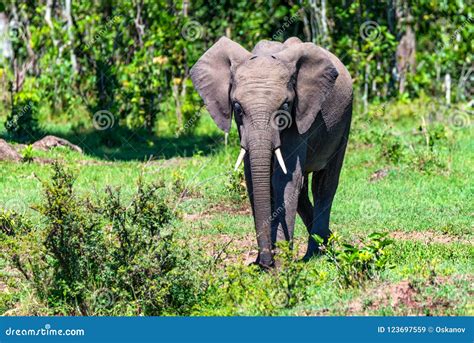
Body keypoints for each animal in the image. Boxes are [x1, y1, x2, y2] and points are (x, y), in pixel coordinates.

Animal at [190, 37, 352, 268]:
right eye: (237, 107)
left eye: (284, 106)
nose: (265, 262)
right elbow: (253, 178)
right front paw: (262, 264)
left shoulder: (299, 114)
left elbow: (283, 179)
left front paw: (281, 267)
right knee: (303, 190)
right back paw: (327, 244)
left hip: (344, 120)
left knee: (324, 184)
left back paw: (315, 254)